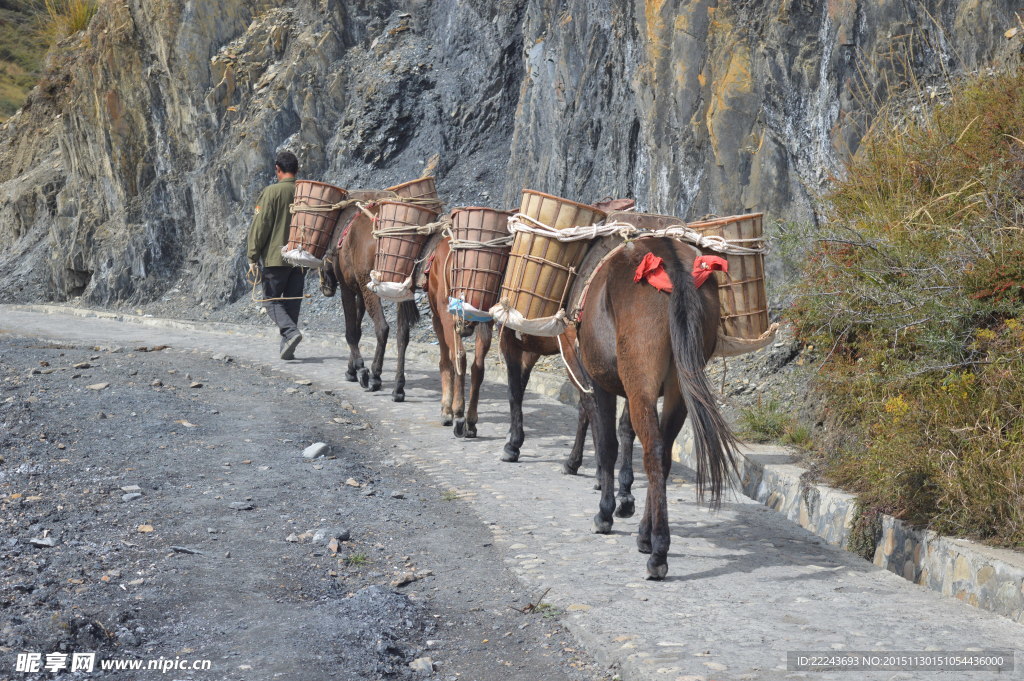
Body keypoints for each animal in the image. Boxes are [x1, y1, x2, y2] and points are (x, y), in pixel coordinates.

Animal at [561, 236, 737, 577]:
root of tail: (670, 259)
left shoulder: (599, 382)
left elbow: (607, 444)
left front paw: (606, 511)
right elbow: (624, 431)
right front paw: (625, 500)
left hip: (639, 381)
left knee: (653, 450)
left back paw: (658, 552)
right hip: (678, 386)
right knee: (663, 453)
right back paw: (646, 535)